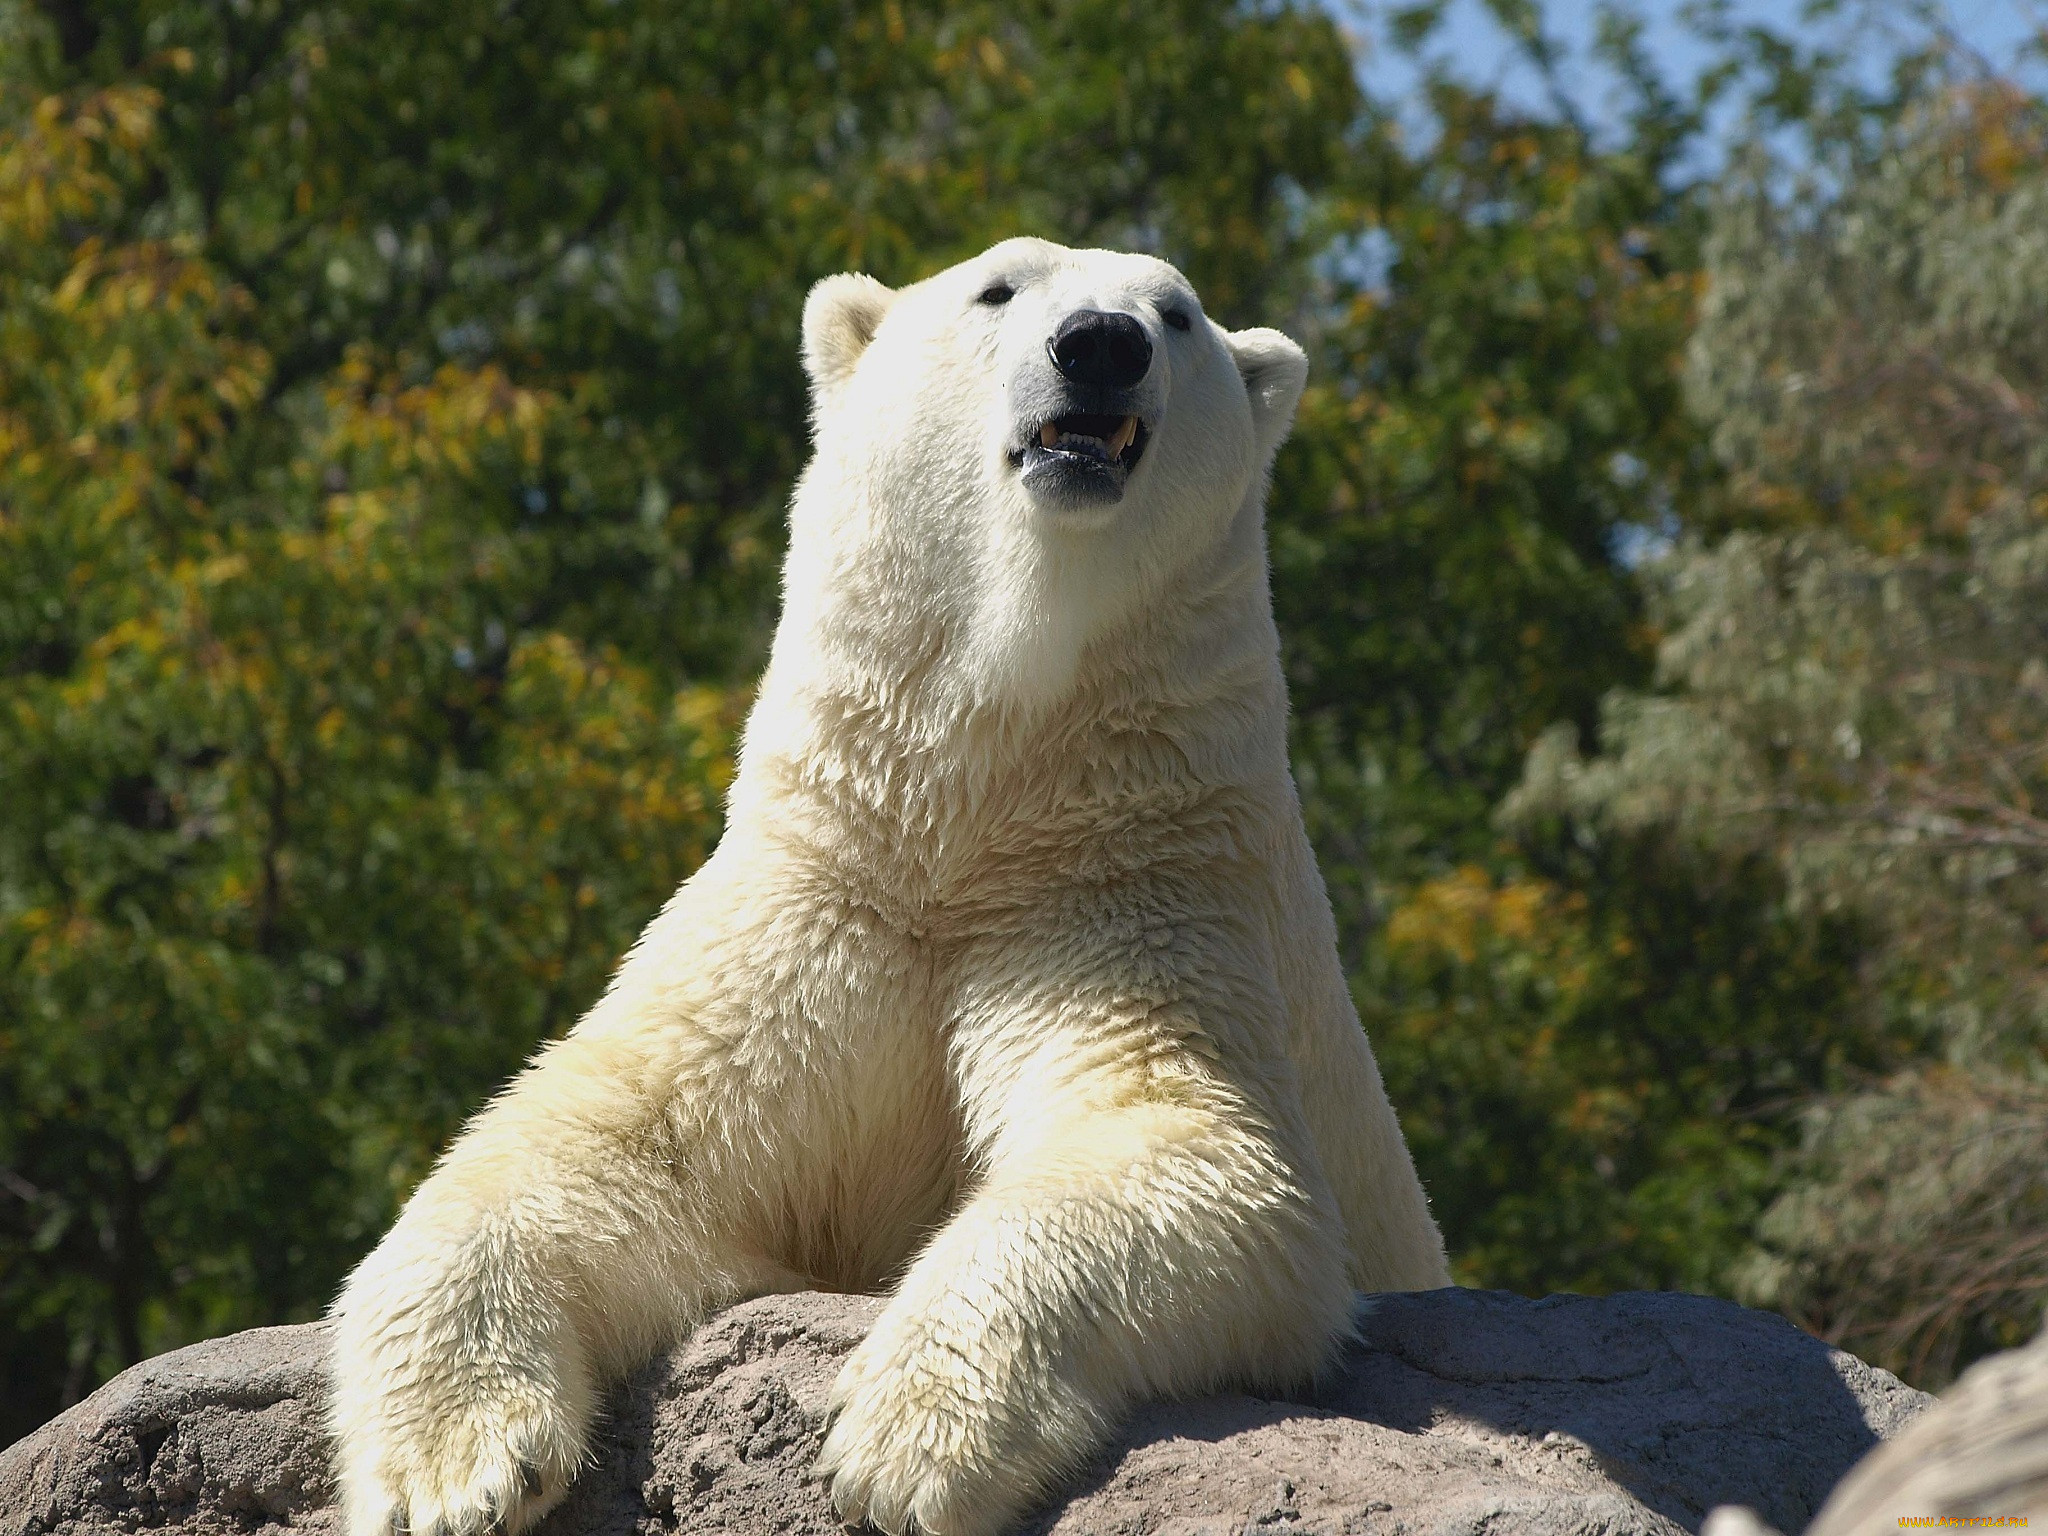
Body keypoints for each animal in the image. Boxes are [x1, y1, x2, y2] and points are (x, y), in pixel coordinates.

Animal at [331, 237, 1458, 1536]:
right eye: (999, 288)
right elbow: (600, 1144)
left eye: (1175, 314)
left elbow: (1185, 1146)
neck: (972, 820)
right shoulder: (826, 892)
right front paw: (454, 1471)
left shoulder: (1134, 882)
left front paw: (900, 1446)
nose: (1101, 345)